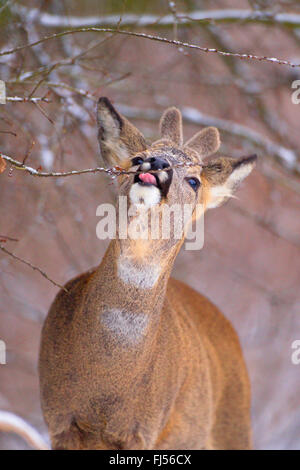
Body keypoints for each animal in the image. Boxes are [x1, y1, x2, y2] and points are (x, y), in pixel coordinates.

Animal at [38, 97, 256, 450]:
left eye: (194, 180)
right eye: (137, 158)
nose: (156, 162)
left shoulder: (143, 429)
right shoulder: (58, 417)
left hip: (234, 428)